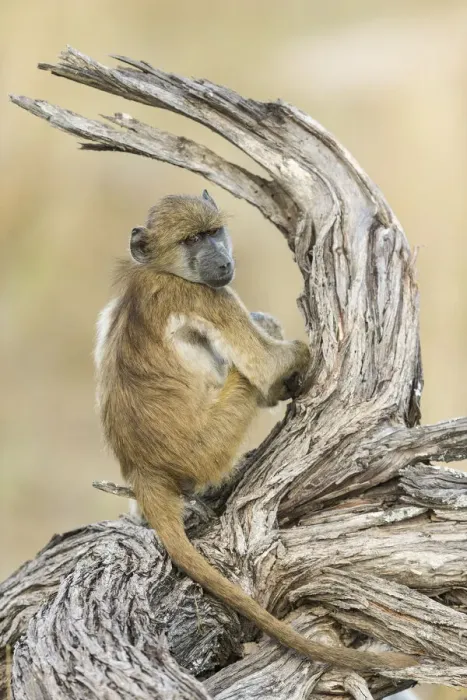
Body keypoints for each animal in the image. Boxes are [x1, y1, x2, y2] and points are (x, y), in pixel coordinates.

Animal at [94, 191, 416, 672]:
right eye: (192, 240)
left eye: (213, 232)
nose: (222, 260)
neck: (160, 270)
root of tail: (144, 469)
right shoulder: (211, 296)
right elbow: (263, 362)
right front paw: (293, 363)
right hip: (211, 444)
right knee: (248, 371)